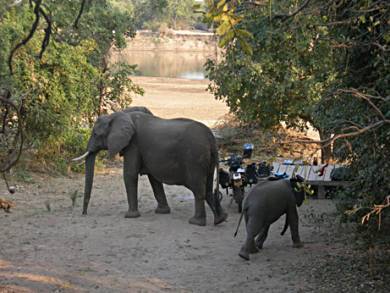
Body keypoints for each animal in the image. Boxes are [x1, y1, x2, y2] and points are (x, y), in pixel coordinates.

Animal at [71, 107, 227, 226]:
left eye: (96, 134)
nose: (84, 214)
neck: (119, 114)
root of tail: (211, 138)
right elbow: (154, 179)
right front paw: (162, 212)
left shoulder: (133, 145)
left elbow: (130, 174)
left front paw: (130, 216)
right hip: (207, 158)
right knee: (207, 189)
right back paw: (221, 219)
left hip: (195, 158)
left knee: (198, 189)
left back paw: (195, 222)